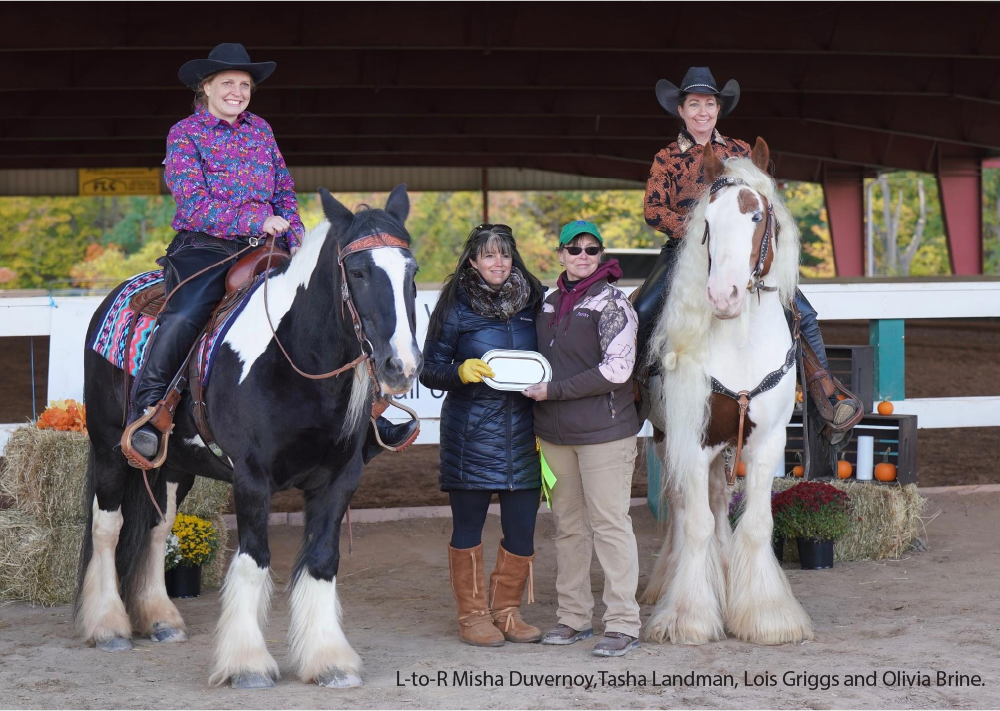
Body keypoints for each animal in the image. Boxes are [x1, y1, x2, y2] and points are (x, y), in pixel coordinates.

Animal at [73, 185, 422, 688]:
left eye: (411, 273)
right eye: (357, 272)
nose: (401, 367)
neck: (295, 359)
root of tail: (114, 297)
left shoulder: (340, 480)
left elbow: (321, 562)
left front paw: (329, 660)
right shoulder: (252, 480)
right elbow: (254, 562)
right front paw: (247, 664)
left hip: (173, 465)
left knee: (158, 528)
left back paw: (160, 618)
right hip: (109, 449)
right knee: (108, 527)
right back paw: (107, 626)